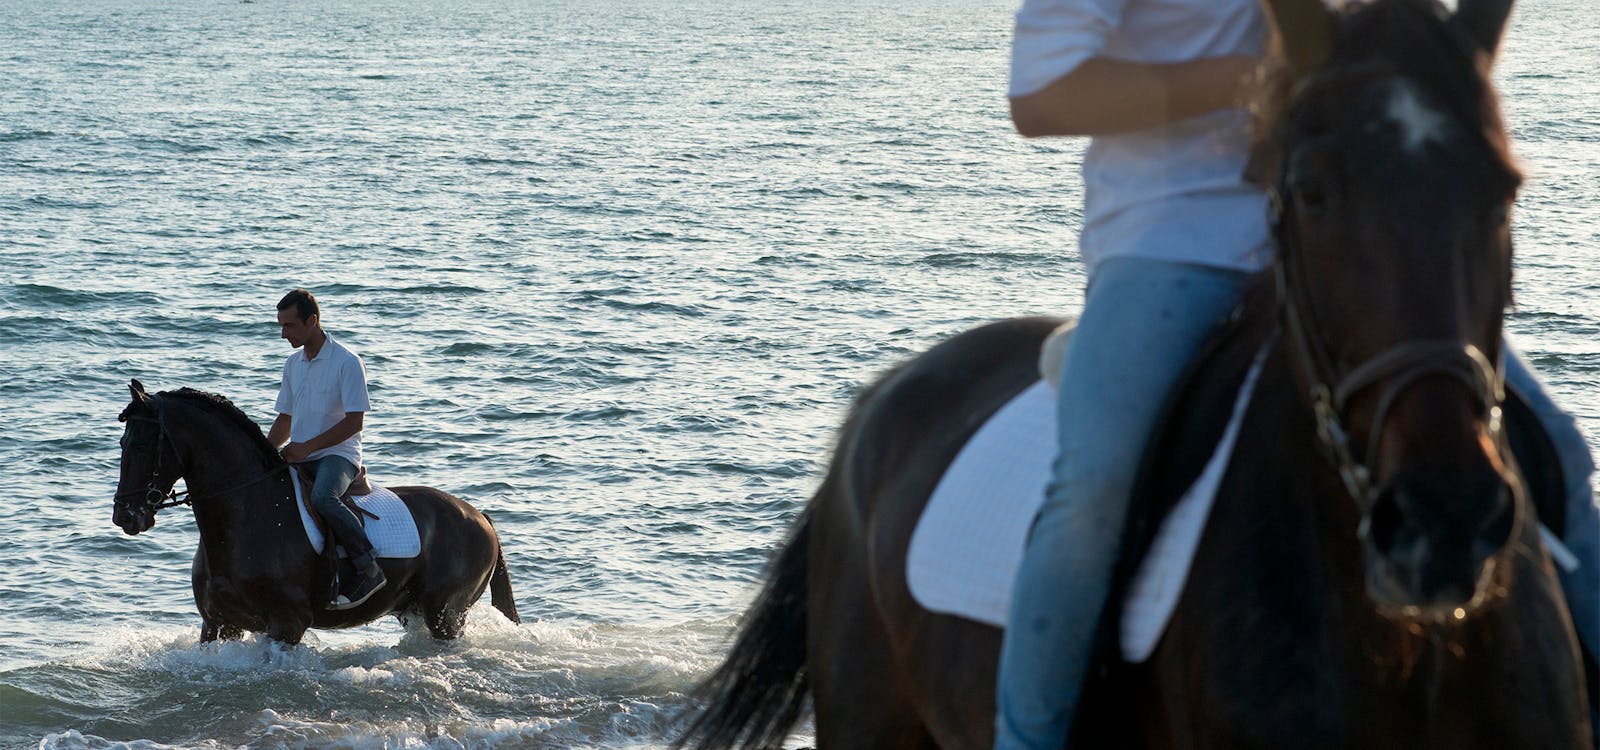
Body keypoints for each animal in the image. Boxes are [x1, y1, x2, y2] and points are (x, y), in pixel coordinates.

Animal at [112, 379, 520, 644]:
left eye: (142, 443)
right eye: (122, 442)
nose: (125, 516)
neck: (247, 515)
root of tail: (482, 519)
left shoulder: (287, 624)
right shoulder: (218, 622)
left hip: (446, 614)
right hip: (417, 611)